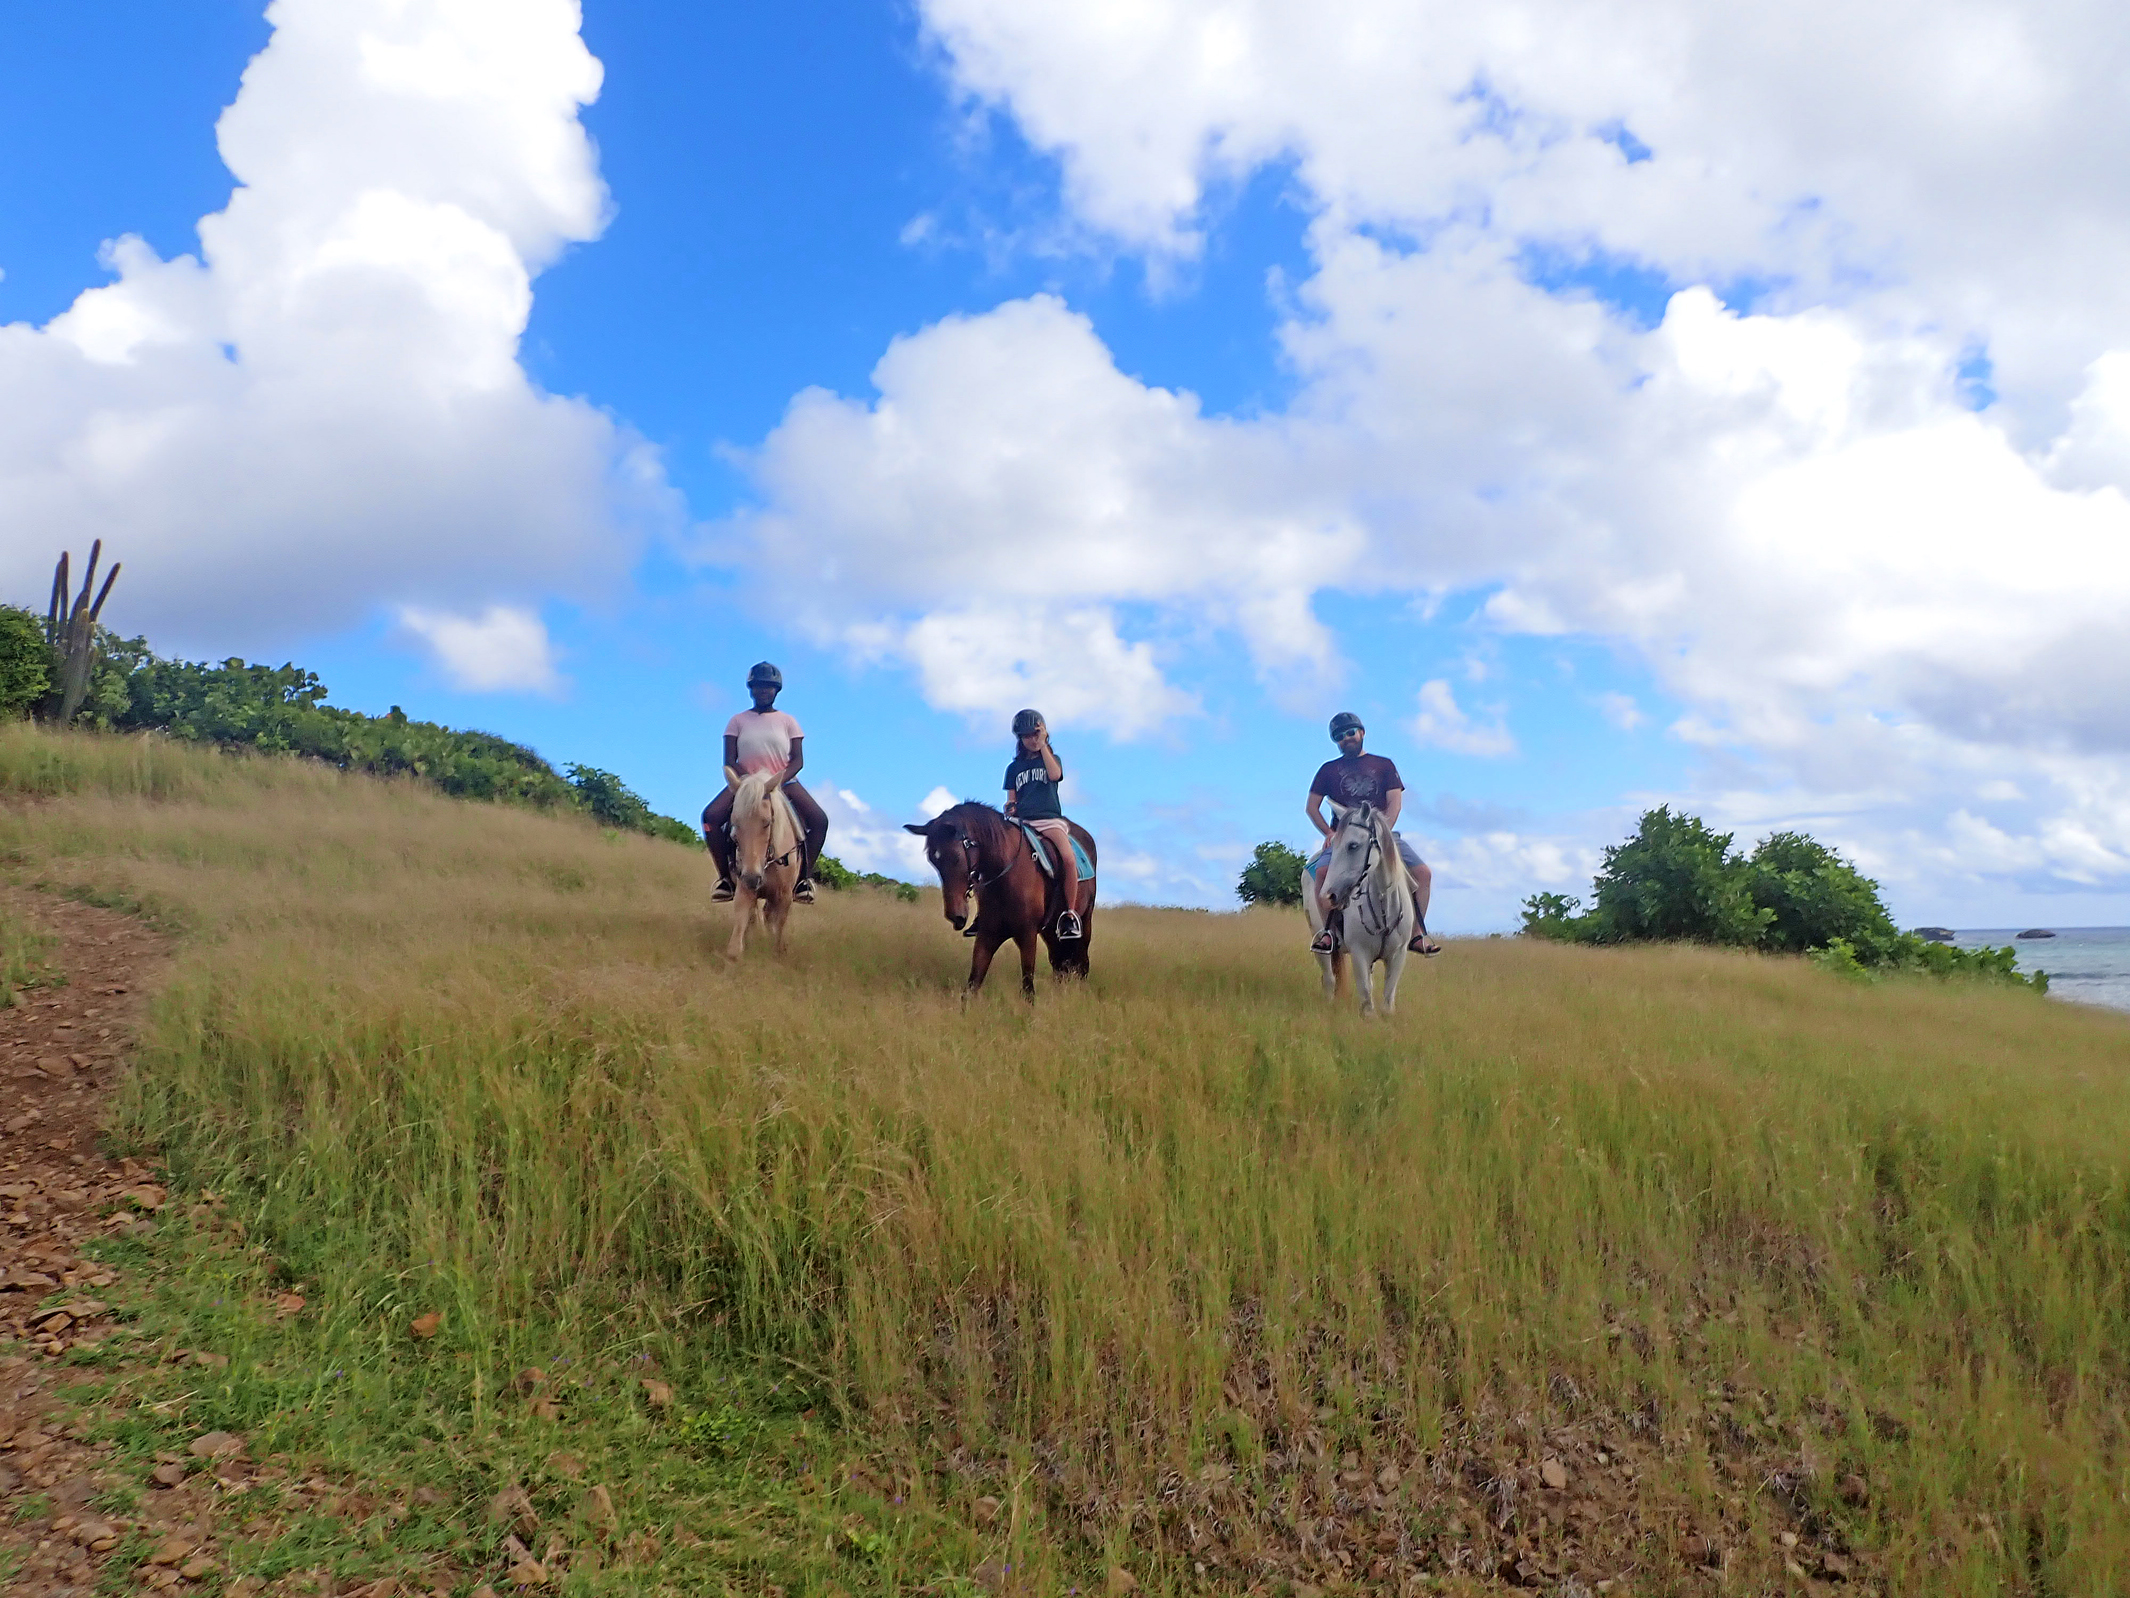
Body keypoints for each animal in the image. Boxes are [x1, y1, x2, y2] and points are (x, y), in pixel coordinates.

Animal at [728, 767, 800, 963]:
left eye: (767, 823)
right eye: (735, 823)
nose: (752, 879)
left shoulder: (784, 897)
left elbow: (779, 930)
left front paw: (777, 954)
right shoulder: (744, 890)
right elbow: (735, 944)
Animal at [903, 801, 1099, 1001]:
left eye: (956, 858)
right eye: (933, 860)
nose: (954, 916)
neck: (1005, 875)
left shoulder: (1027, 936)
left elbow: (1028, 990)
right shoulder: (987, 935)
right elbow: (971, 987)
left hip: (1084, 923)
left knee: (1082, 965)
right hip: (1051, 931)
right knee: (1059, 964)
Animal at [1312, 805, 1414, 1018]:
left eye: (1353, 845)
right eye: (1334, 846)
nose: (1327, 896)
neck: (1383, 904)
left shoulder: (1398, 955)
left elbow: (1387, 1000)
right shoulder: (1359, 953)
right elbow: (1367, 1001)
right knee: (1329, 978)